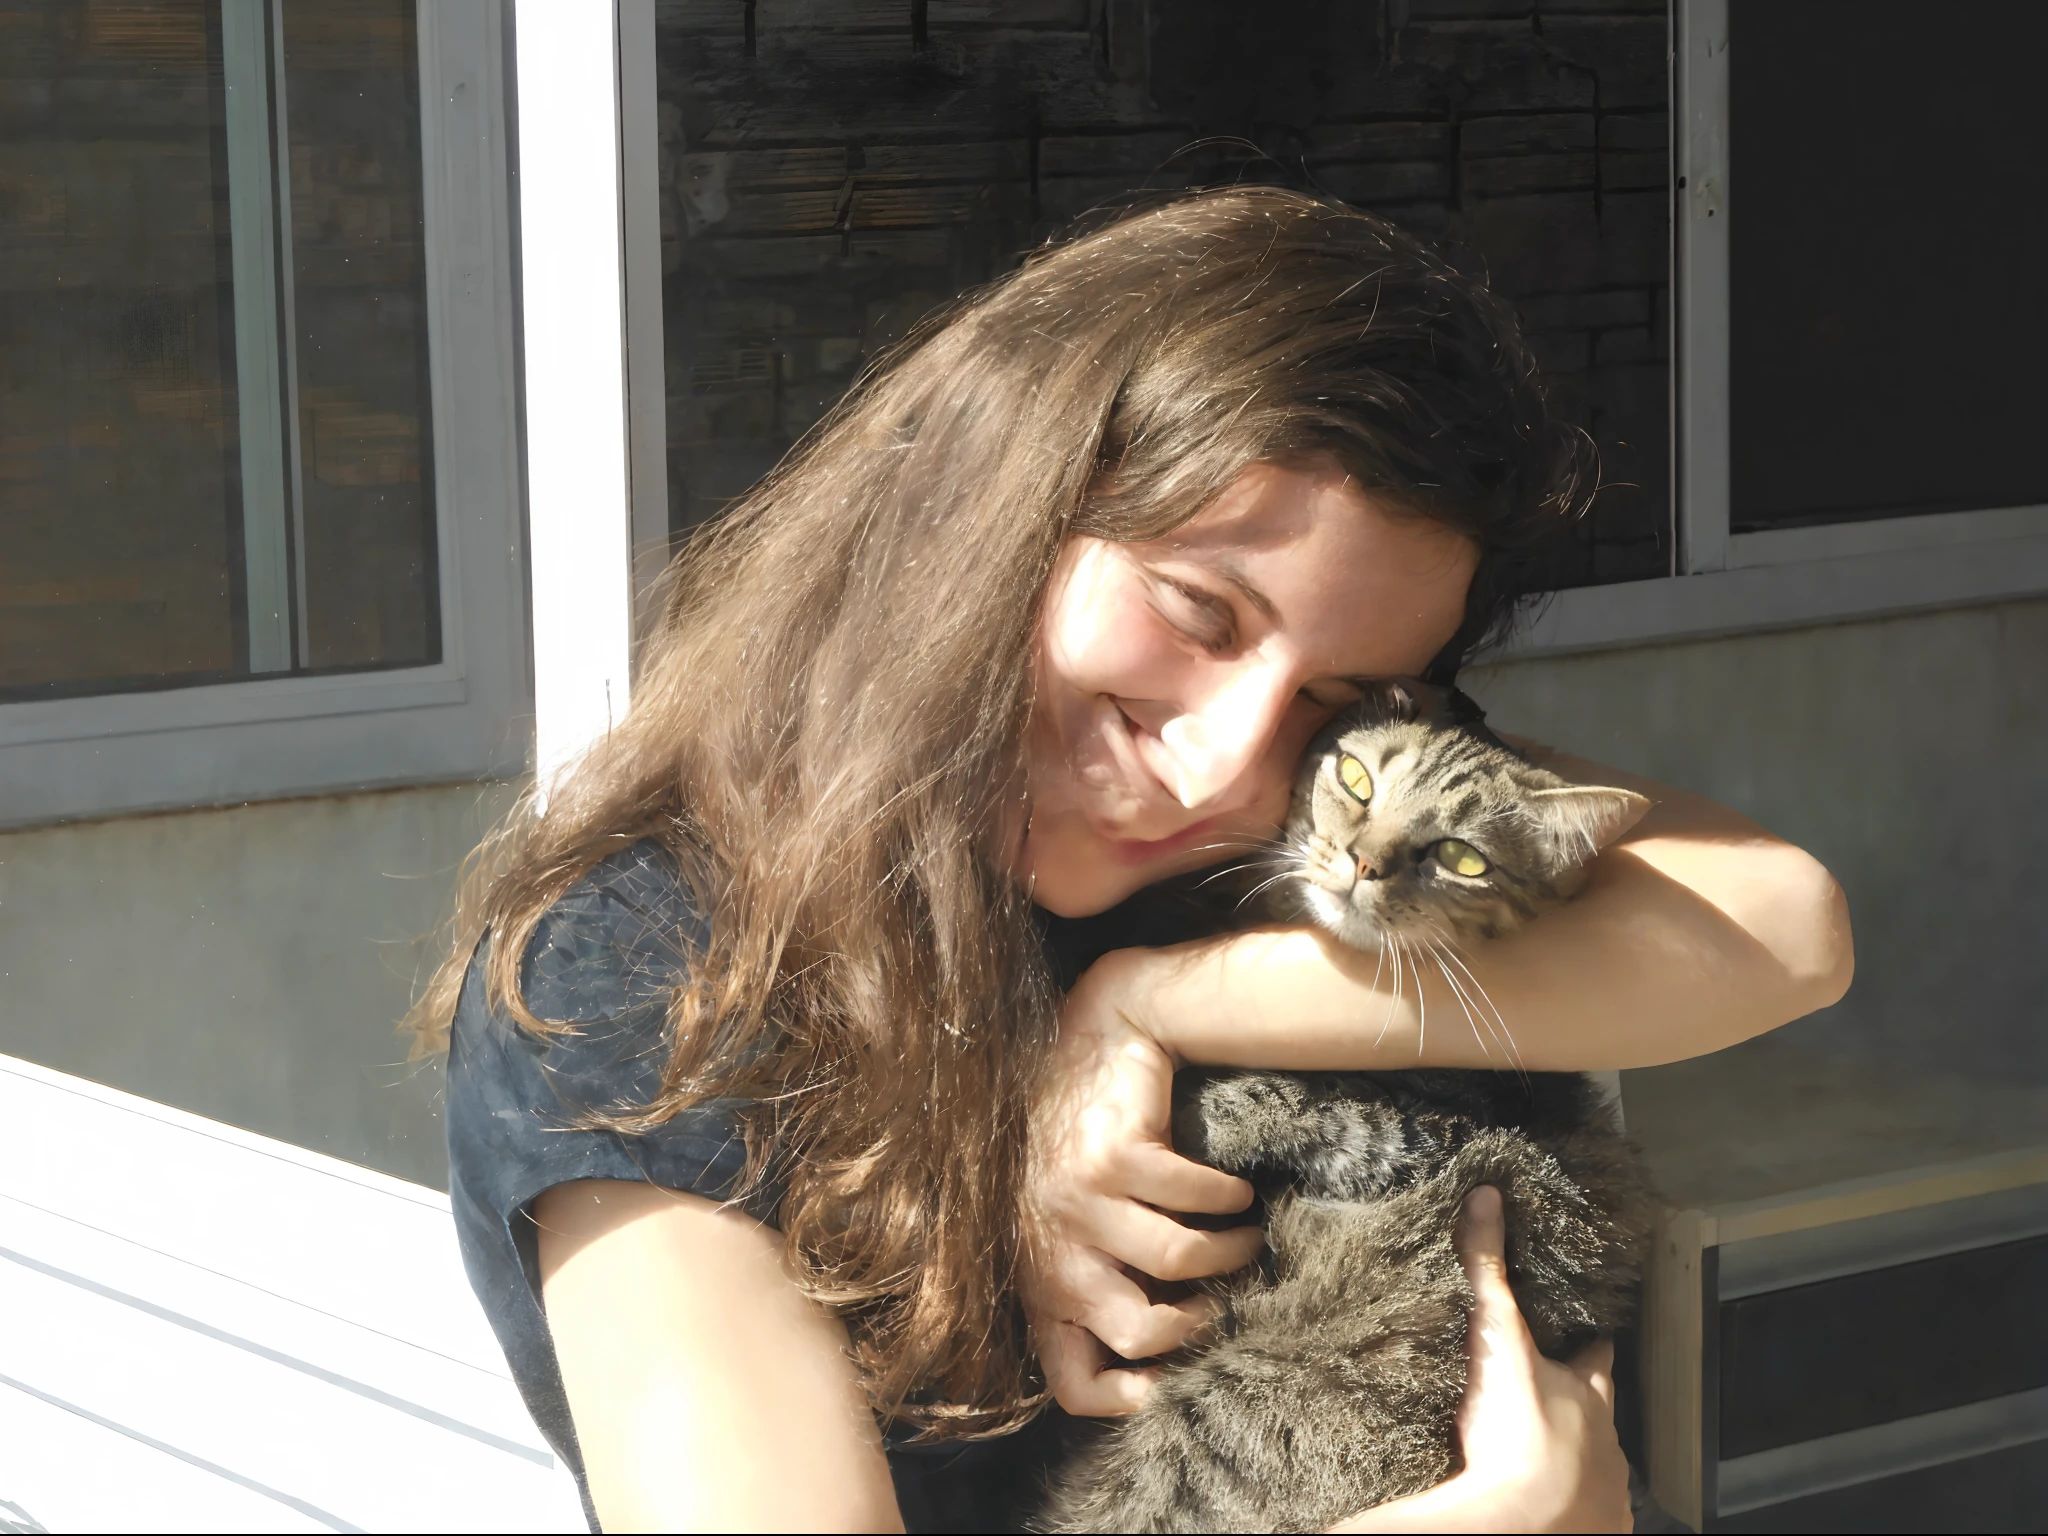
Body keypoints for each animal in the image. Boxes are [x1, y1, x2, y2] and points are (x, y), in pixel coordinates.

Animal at [1048, 684, 1654, 1536]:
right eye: (1358, 780)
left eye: (1462, 857)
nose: (1363, 861)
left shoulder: (1450, 1128)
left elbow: (1328, 1104)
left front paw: (1207, 1105)